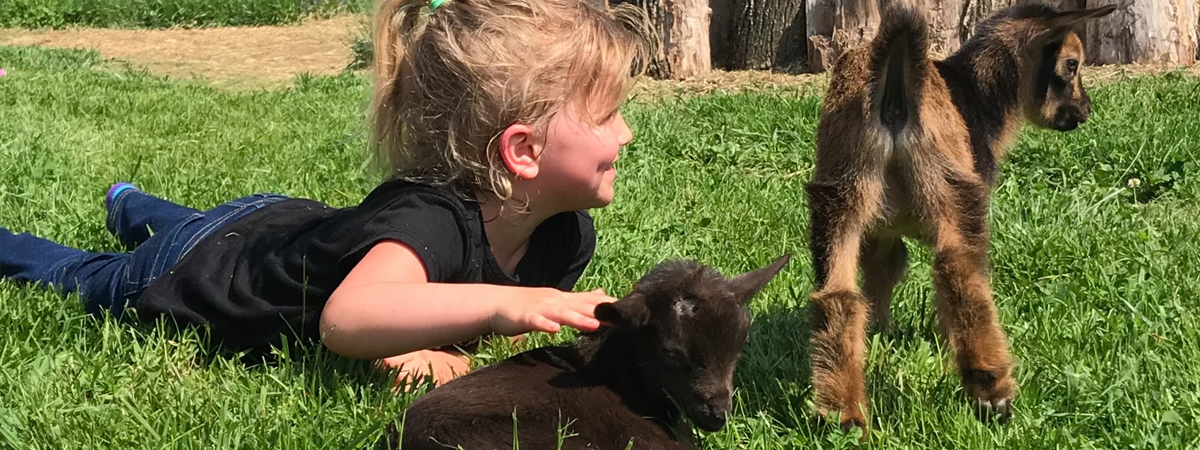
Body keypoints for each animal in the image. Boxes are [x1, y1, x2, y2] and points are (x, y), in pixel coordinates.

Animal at [806, 3, 1113, 434]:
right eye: (1072, 64)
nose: (1084, 111)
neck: (978, 94)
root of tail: (897, 82)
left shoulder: (882, 233)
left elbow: (883, 276)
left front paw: (881, 333)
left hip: (838, 194)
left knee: (838, 296)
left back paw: (843, 414)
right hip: (955, 189)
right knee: (959, 270)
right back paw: (992, 390)